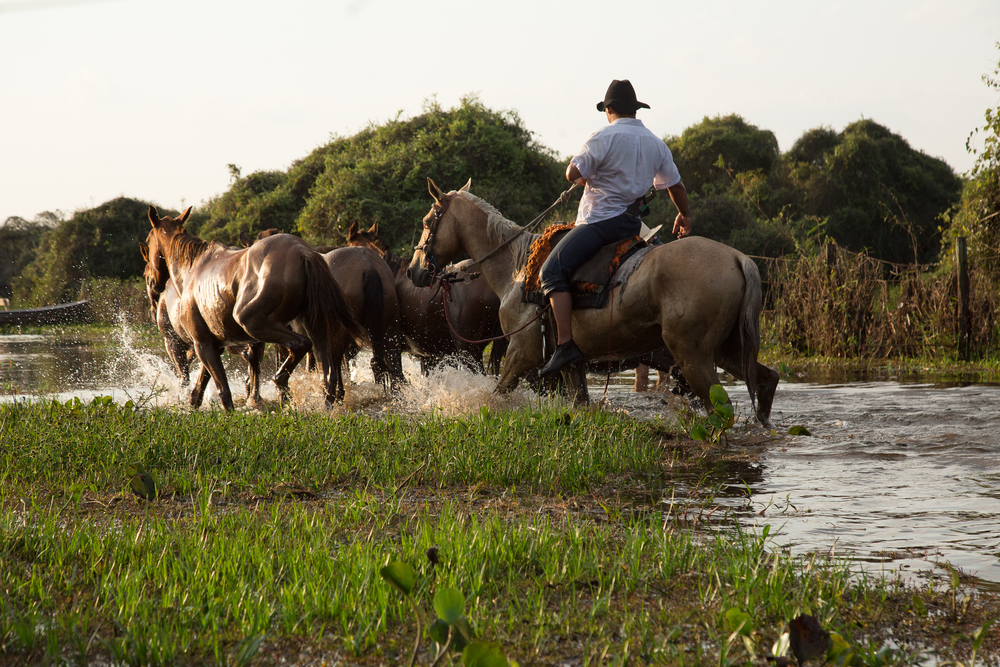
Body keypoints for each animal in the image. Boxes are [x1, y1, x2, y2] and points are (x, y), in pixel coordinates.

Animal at [143, 206, 366, 411]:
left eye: (148, 241)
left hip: (255, 324)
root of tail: (304, 252)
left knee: (300, 346)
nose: (154, 283)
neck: (192, 268)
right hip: (316, 328)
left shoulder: (203, 344)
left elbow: (223, 391)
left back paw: (281, 385)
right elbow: (198, 392)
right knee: (328, 375)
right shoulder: (213, 345)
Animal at [406, 179, 779, 426]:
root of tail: (738, 258)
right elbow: (579, 401)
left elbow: (496, 393)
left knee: (722, 408)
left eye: (426, 222)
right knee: (766, 379)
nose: (414, 271)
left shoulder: (522, 350)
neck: (516, 265)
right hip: (727, 349)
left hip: (693, 357)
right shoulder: (572, 362)